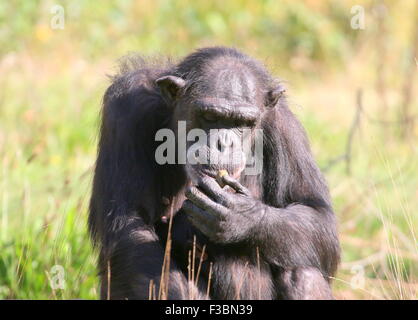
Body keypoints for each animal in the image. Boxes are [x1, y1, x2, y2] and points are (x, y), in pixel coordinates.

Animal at [89, 46, 340, 298]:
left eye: (244, 122)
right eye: (210, 116)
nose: (224, 143)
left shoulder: (285, 125)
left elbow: (318, 214)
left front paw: (241, 215)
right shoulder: (128, 109)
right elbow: (130, 225)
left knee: (303, 272)